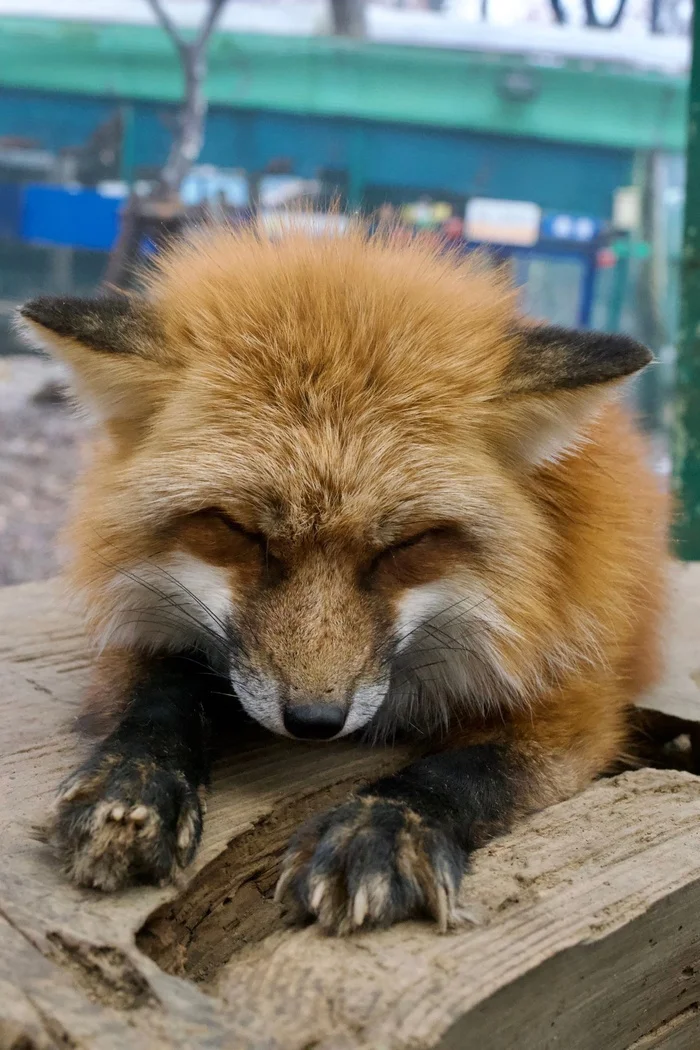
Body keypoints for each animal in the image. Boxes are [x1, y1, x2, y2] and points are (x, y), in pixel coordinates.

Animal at [17, 225, 667, 932]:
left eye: (406, 545)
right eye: (240, 530)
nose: (314, 722)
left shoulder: (574, 696)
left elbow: (468, 771)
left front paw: (383, 828)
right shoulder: (142, 613)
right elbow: (157, 694)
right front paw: (134, 781)